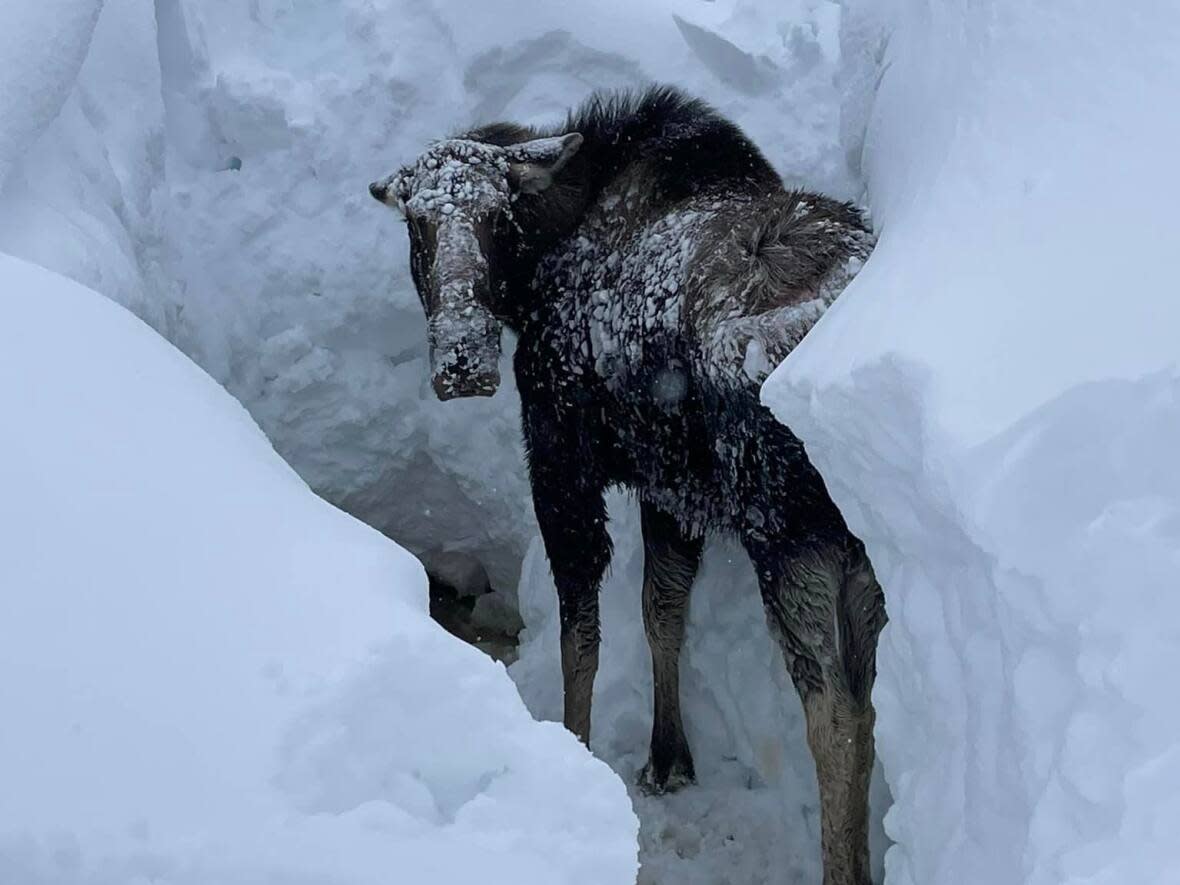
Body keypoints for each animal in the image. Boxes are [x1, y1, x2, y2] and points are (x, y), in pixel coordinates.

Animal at [368, 84, 887, 885]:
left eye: (497, 217)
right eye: (417, 225)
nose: (462, 362)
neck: (532, 276)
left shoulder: (562, 459)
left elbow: (581, 634)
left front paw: (577, 755)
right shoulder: (669, 484)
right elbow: (661, 607)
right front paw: (667, 755)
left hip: (784, 529)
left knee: (834, 711)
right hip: (853, 548)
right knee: (865, 697)